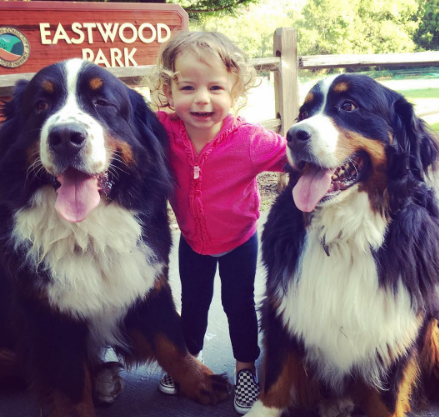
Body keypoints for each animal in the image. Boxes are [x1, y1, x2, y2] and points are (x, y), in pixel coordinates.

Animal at [0, 58, 230, 416]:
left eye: (102, 103)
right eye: (40, 106)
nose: (65, 137)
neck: (88, 231)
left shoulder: (148, 280)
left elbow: (171, 338)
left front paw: (201, 380)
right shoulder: (48, 314)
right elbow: (70, 384)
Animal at [249, 74, 439, 416]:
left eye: (348, 106)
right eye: (304, 112)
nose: (293, 136)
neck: (347, 235)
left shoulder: (397, 326)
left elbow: (389, 398)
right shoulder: (282, 305)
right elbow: (277, 376)